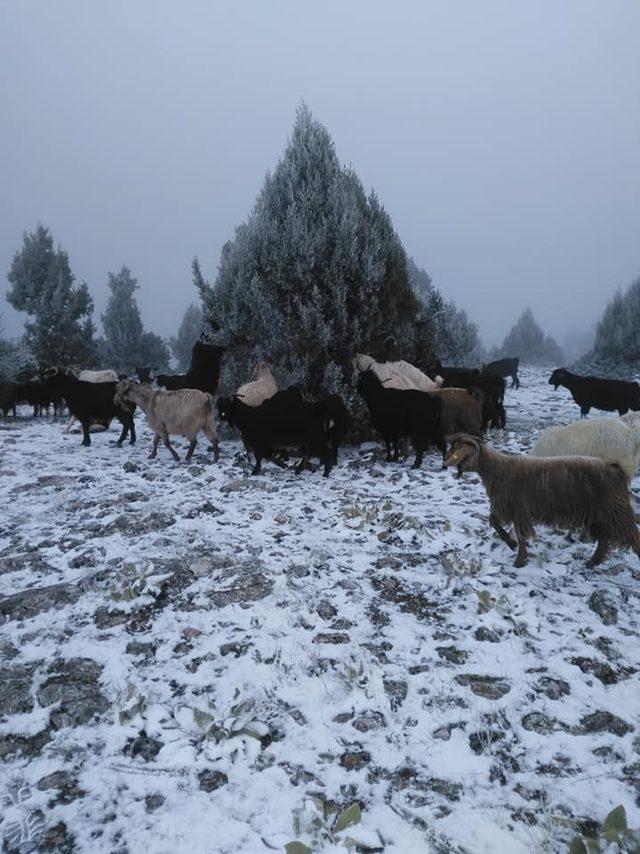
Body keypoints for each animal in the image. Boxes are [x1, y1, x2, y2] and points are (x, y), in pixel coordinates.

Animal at [442, 434, 640, 568]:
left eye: (459, 448)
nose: (444, 463)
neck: (496, 470)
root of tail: (614, 468)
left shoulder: (518, 509)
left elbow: (521, 534)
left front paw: (519, 559)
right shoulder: (505, 507)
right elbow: (493, 522)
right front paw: (510, 543)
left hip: (614, 510)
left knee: (632, 535)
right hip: (599, 514)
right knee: (605, 538)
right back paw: (592, 562)